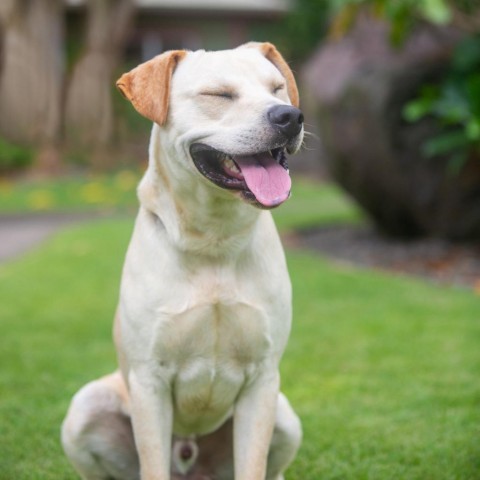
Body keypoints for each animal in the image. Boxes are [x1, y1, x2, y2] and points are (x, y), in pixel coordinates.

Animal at [62, 42, 304, 480]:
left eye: (277, 89)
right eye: (218, 95)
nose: (289, 116)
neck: (214, 239)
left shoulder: (263, 380)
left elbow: (253, 463)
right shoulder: (149, 381)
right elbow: (152, 462)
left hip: (284, 415)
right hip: (84, 409)